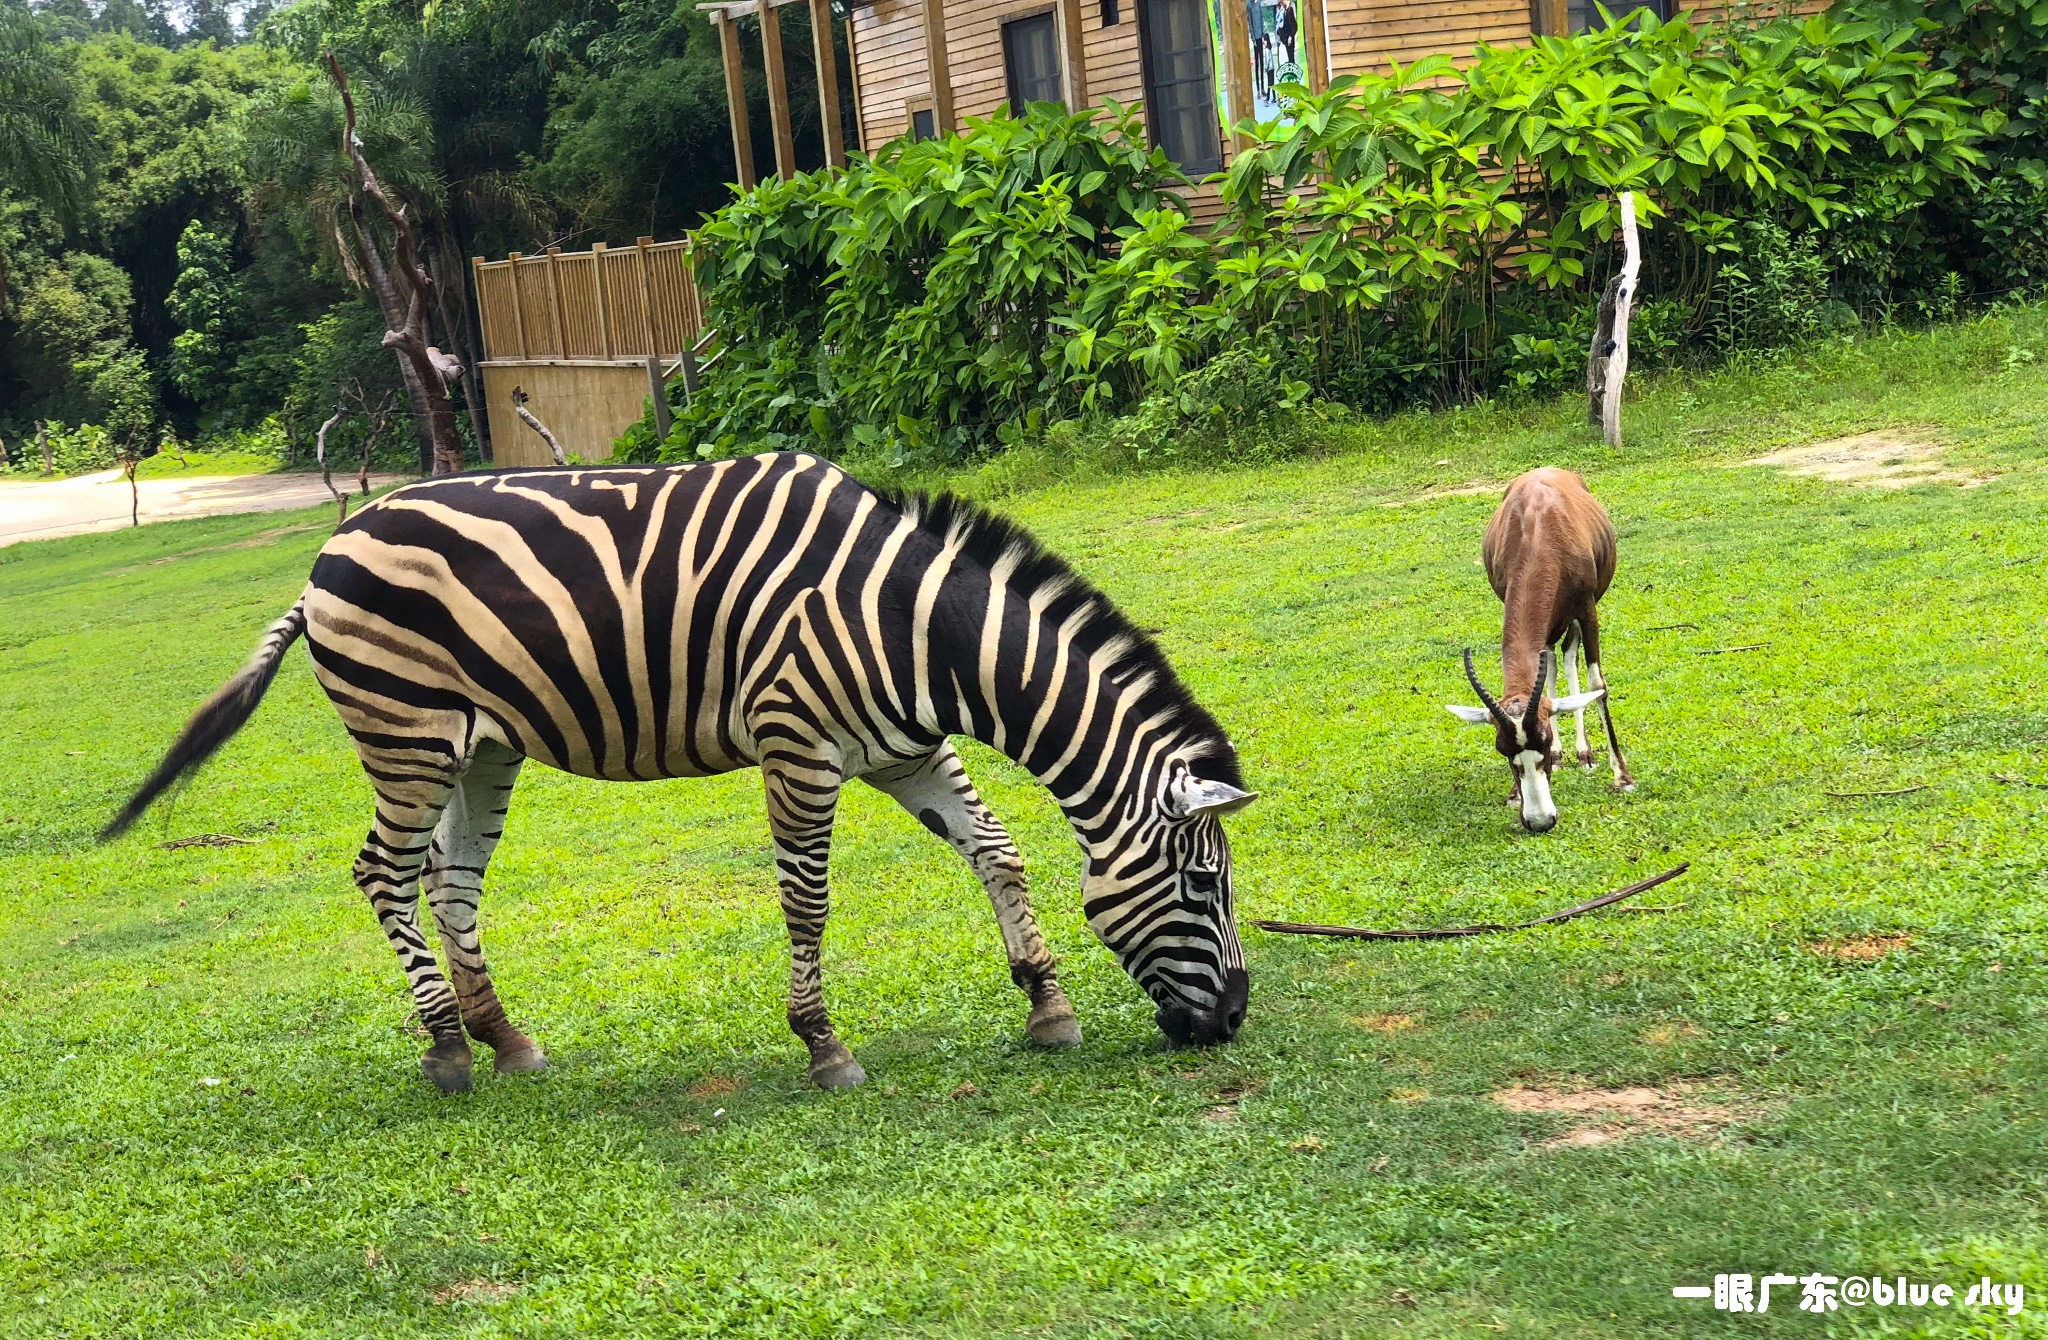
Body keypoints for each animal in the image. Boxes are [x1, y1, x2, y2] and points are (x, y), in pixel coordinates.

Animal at [112, 450, 1261, 1090]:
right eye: (1205, 884)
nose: (1234, 1020)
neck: (913, 625)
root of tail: (332, 546)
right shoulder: (799, 744)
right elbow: (807, 899)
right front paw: (822, 1045)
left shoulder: (903, 749)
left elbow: (997, 850)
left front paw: (1044, 1005)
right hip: (406, 733)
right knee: (381, 874)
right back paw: (446, 1049)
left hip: (480, 747)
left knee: (449, 881)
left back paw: (504, 1036)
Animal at [1449, 467, 1638, 835]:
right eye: (1504, 751)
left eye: (1544, 741)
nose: (1539, 821)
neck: (1538, 526)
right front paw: (1514, 794)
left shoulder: (1587, 609)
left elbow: (1597, 685)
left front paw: (1622, 777)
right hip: (1552, 625)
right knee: (1551, 659)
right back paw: (1571, 756)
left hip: (1574, 616)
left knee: (1569, 656)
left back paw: (1585, 756)